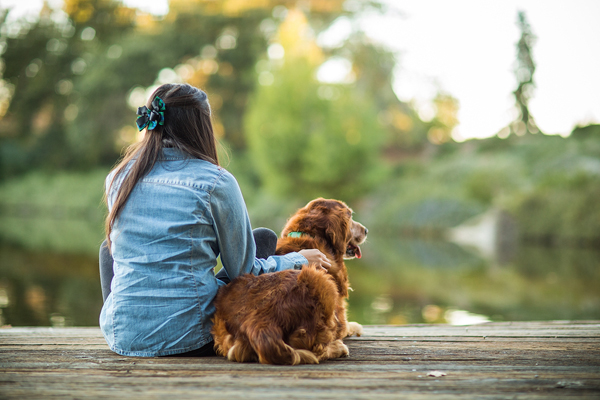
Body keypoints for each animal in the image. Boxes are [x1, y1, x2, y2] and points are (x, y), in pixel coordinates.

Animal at [213, 198, 368, 364]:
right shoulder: (340, 318)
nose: (366, 230)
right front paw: (355, 327)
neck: (313, 237)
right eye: (350, 216)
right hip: (323, 283)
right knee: (318, 350)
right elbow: (347, 326)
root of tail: (259, 326)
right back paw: (338, 348)